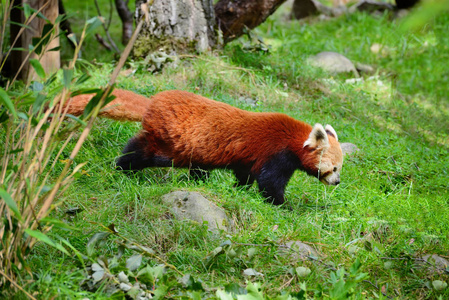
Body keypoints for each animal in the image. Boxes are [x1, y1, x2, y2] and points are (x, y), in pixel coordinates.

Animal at [65, 90, 344, 205]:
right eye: (333, 168)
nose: (338, 182)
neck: (294, 139)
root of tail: (152, 102)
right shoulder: (276, 154)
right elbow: (269, 183)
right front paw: (283, 205)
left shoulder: (248, 158)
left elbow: (245, 174)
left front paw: (239, 190)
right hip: (170, 143)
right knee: (142, 153)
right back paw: (122, 168)